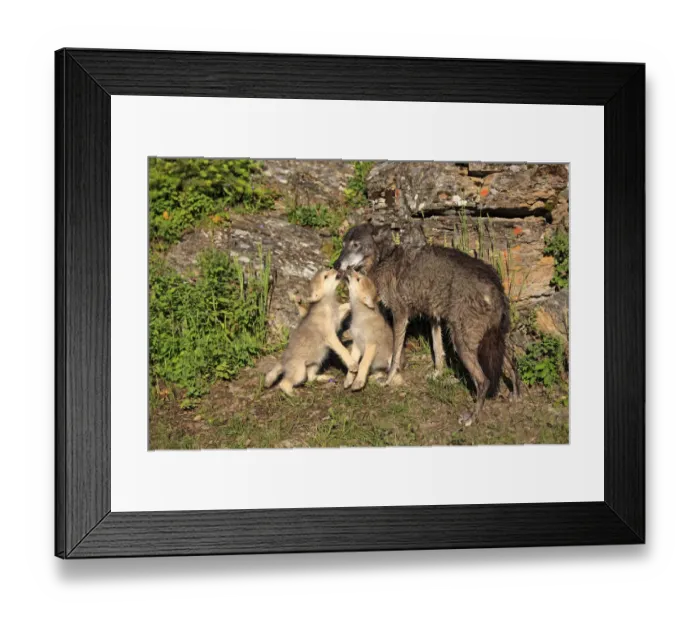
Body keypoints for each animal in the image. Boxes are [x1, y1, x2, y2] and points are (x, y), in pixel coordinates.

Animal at [334, 223, 520, 424]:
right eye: (343, 244)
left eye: (356, 245)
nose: (335, 264)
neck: (384, 259)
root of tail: (495, 283)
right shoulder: (434, 318)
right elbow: (438, 353)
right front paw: (437, 374)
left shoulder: (400, 315)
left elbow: (396, 355)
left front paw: (388, 379)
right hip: (491, 341)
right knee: (512, 364)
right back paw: (516, 396)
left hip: (463, 343)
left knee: (484, 381)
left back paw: (472, 417)